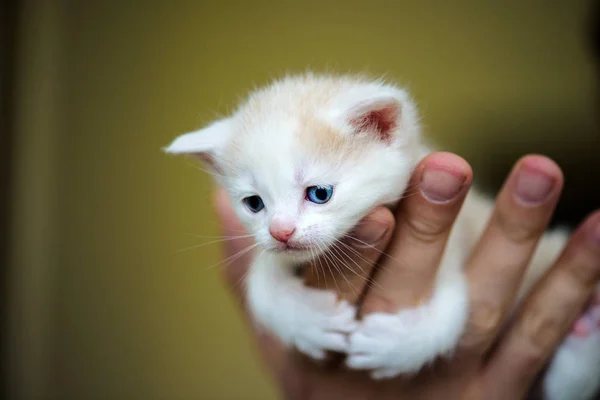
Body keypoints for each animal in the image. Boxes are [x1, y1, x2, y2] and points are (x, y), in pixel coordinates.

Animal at [165, 73, 600, 398]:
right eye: (253, 203)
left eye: (319, 194)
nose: (281, 231)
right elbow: (262, 286)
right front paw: (306, 321)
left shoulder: (460, 233)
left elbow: (456, 307)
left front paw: (397, 346)